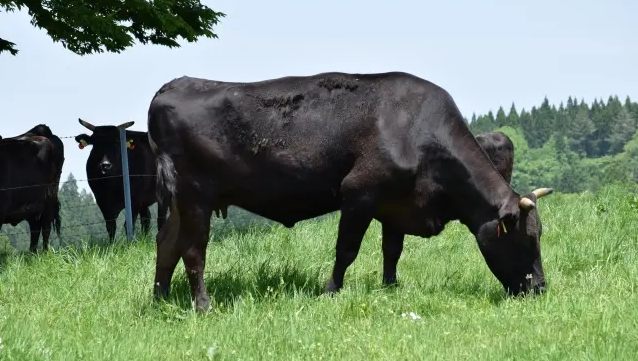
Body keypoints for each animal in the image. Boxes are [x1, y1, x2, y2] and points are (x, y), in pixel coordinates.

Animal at [146, 71, 556, 310]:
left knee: (167, 244)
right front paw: (330, 291)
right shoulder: (359, 192)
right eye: (525, 238)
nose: (539, 288)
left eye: (540, 234)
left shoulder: (396, 204)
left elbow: (392, 250)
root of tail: (175, 84)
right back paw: (202, 304)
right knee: (193, 250)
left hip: (182, 201)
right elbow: (346, 250)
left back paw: (160, 299)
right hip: (195, 195)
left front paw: (390, 287)